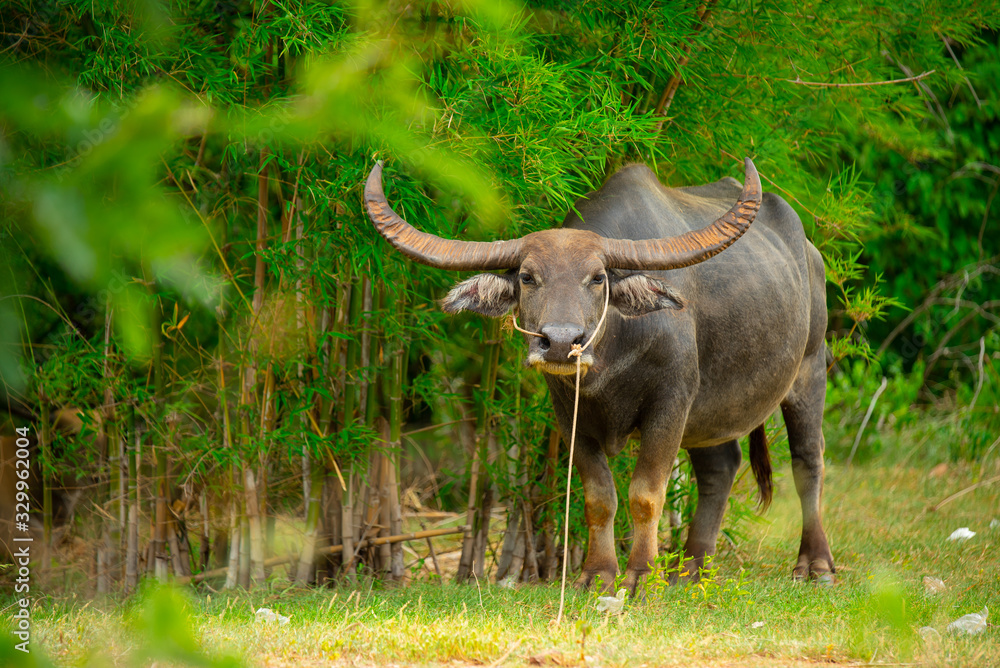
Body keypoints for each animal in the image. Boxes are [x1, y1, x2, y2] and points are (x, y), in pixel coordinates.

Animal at [364, 158, 834, 592]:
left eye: (597, 278)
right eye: (527, 277)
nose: (559, 342)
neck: (610, 361)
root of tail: (810, 253)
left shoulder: (671, 402)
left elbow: (645, 493)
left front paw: (641, 575)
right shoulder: (569, 413)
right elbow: (598, 497)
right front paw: (597, 574)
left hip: (809, 370)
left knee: (807, 459)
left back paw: (814, 565)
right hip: (711, 411)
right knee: (720, 467)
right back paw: (689, 570)